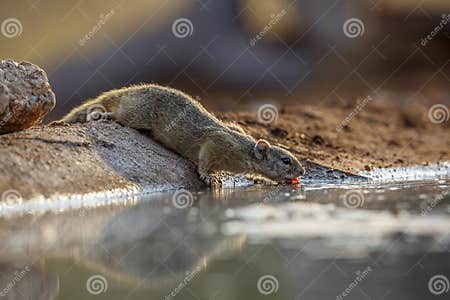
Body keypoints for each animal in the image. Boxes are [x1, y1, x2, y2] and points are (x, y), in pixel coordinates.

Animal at [59, 83, 306, 184]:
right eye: (286, 160)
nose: (302, 172)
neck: (245, 148)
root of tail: (129, 91)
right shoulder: (220, 143)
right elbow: (206, 156)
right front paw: (208, 175)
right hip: (138, 115)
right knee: (119, 115)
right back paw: (107, 115)